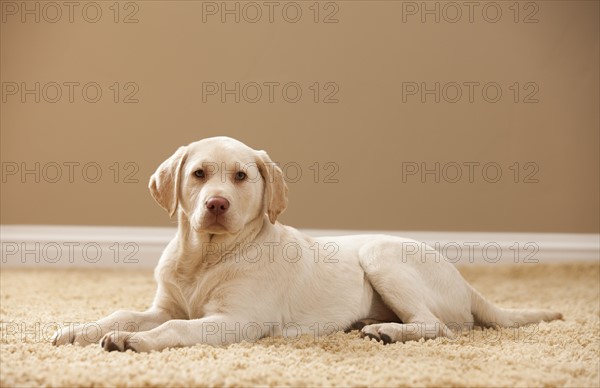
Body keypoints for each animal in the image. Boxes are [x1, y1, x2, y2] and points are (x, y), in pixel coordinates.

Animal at [51, 136, 564, 352]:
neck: (208, 256)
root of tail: (464, 281)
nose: (216, 204)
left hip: (381, 257)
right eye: (198, 174)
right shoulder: (164, 305)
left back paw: (388, 331)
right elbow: (125, 313)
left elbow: (174, 329)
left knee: (438, 327)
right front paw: (81, 329)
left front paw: (133, 340)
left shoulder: (236, 321)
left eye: (241, 176)